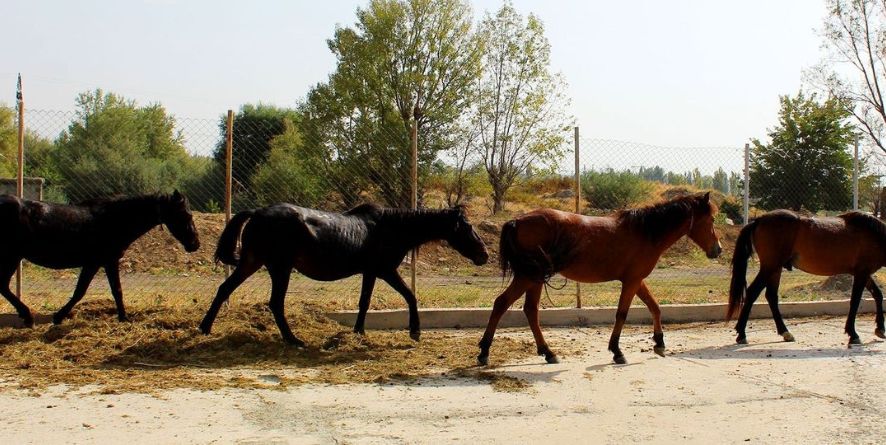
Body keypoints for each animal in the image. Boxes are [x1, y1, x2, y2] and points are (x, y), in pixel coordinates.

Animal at [0, 189, 201, 324]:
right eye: (186, 214)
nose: (195, 244)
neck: (113, 220)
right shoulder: (101, 262)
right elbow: (89, 291)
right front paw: (59, 316)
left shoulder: (102, 263)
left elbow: (106, 291)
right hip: (10, 257)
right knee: (3, 286)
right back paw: (27, 316)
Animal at [199, 201, 492, 344]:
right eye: (467, 227)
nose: (484, 255)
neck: (391, 228)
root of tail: (257, 213)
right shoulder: (384, 270)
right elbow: (409, 296)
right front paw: (415, 331)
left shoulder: (371, 272)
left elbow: (365, 302)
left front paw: (359, 331)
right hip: (279, 268)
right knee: (275, 304)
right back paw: (293, 340)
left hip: (252, 263)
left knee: (224, 289)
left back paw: (204, 328)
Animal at [478, 193, 720, 366]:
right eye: (711, 219)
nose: (718, 249)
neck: (645, 232)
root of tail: (517, 221)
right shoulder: (632, 281)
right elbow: (622, 314)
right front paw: (617, 351)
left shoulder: (636, 280)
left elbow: (655, 307)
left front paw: (659, 342)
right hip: (529, 277)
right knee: (502, 303)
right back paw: (484, 352)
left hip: (534, 278)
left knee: (529, 310)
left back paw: (547, 352)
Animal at [728, 210, 886, 346]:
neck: (874, 235)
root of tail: (759, 220)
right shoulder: (861, 273)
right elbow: (855, 302)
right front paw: (853, 334)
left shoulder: (864, 273)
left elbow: (878, 295)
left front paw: (880, 329)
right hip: (770, 267)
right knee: (752, 292)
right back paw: (741, 334)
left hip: (775, 269)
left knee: (771, 296)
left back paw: (785, 332)